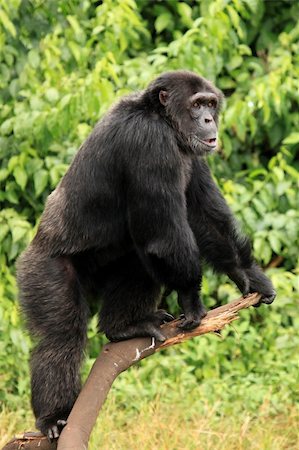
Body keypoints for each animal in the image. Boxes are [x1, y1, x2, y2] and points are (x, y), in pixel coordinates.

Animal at [17, 71, 276, 440]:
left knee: (140, 263)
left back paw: (123, 326)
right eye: (197, 104)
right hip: (43, 270)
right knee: (59, 336)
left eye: (211, 103)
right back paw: (54, 416)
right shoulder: (149, 144)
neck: (164, 121)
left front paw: (247, 274)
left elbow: (204, 215)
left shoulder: (194, 157)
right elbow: (165, 235)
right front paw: (191, 299)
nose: (208, 119)